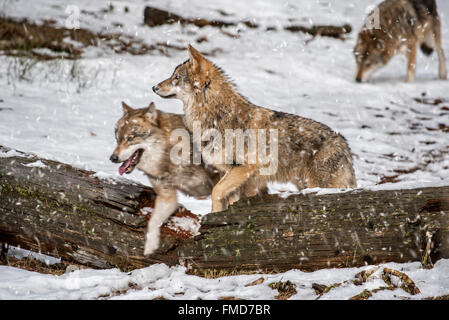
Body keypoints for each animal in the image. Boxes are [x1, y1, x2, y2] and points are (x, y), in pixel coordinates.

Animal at [152, 44, 356, 212]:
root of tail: (344, 144)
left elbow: (216, 192)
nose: (154, 87)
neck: (217, 116)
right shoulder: (231, 173)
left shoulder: (246, 168)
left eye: (176, 78)